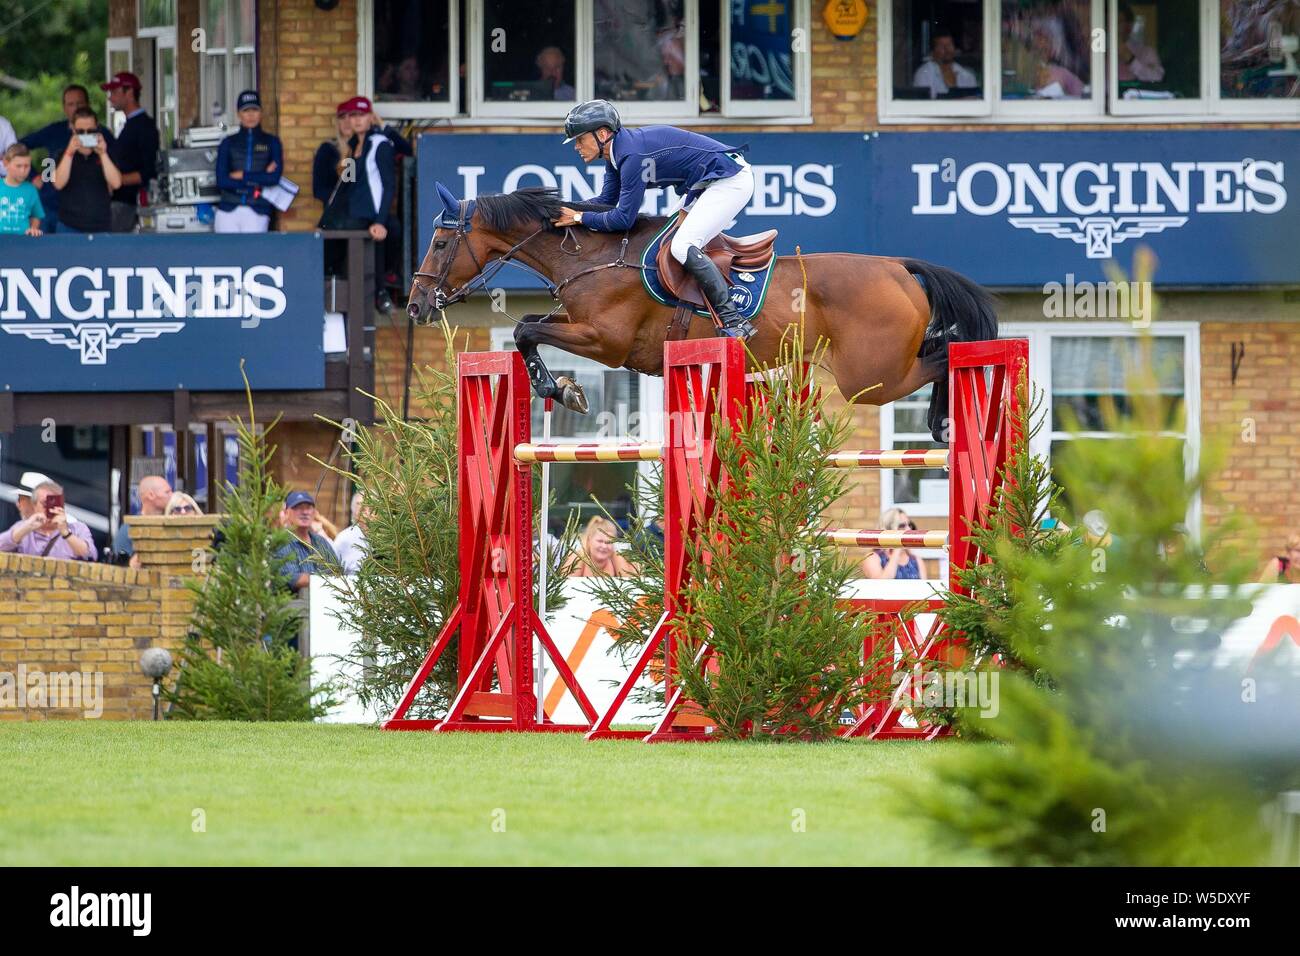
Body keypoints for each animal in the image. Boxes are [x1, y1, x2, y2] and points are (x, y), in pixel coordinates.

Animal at [405, 184, 993, 442]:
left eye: (440, 243)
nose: (415, 305)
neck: (593, 256)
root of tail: (899, 267)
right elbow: (529, 331)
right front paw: (563, 390)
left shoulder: (605, 341)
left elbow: (528, 329)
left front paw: (562, 390)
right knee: (942, 350)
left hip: (869, 377)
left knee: (944, 355)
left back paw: (943, 421)